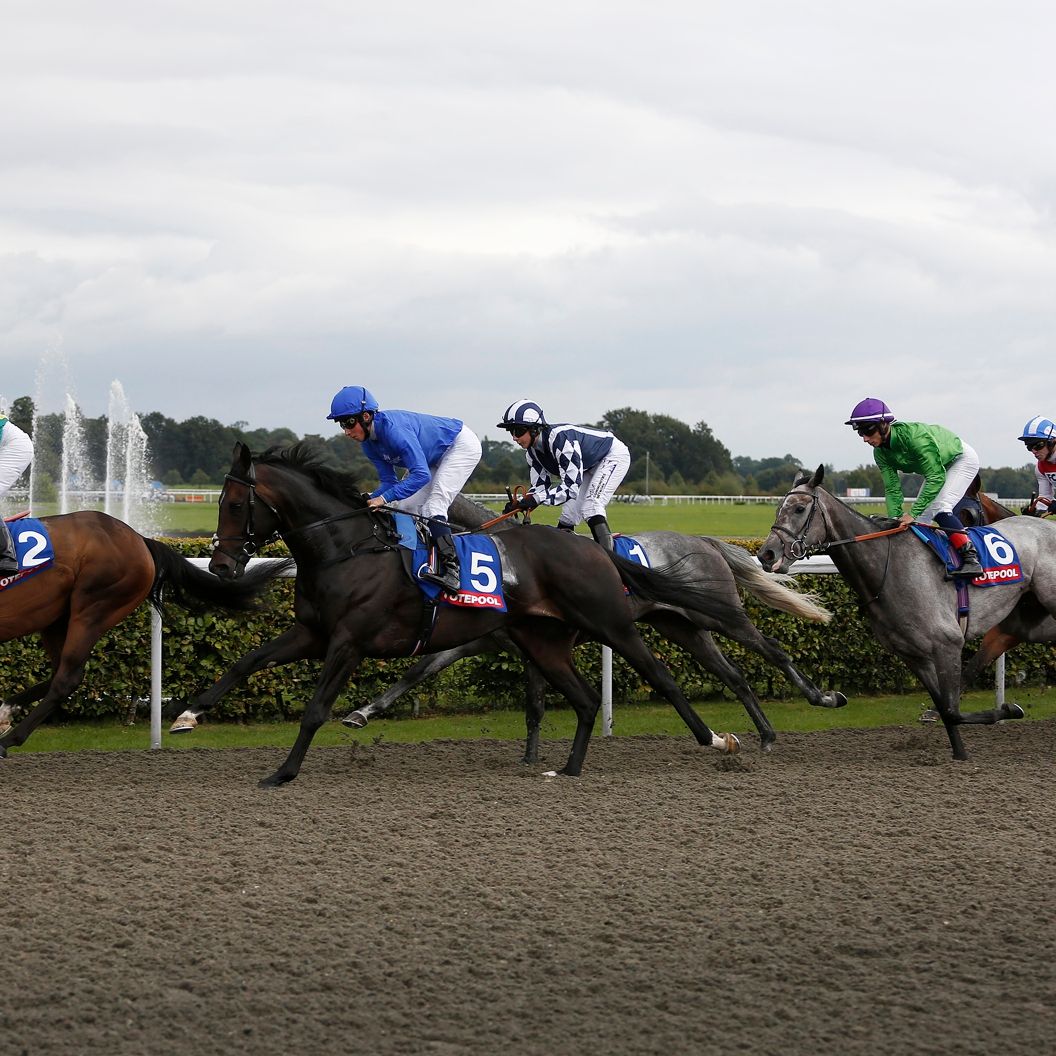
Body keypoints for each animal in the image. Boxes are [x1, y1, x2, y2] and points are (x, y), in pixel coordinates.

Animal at [0, 511, 288, 756]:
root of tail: (139, 539)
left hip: (94, 607)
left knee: (67, 678)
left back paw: (8, 741)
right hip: (57, 618)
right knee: (61, 673)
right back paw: (5, 711)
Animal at [176, 440, 751, 786]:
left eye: (234, 504)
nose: (222, 565)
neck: (348, 549)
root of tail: (596, 550)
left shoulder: (349, 641)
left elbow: (316, 708)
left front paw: (284, 771)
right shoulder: (312, 632)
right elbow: (244, 663)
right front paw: (188, 714)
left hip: (611, 623)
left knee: (661, 677)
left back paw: (717, 738)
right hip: (543, 640)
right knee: (587, 700)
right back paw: (567, 768)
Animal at [342, 494, 845, 759]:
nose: (387, 535)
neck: (510, 558)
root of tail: (704, 542)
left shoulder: (523, 645)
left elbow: (534, 704)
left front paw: (532, 757)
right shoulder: (485, 641)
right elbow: (419, 670)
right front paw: (361, 712)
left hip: (718, 613)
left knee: (772, 648)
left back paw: (822, 698)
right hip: (681, 626)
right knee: (735, 675)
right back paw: (765, 733)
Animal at [755, 466, 1049, 760]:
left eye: (799, 508)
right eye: (778, 508)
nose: (766, 554)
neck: (889, 565)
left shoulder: (948, 643)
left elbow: (952, 708)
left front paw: (1009, 710)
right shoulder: (913, 654)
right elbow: (946, 710)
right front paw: (960, 753)